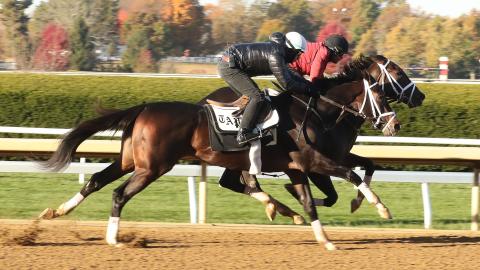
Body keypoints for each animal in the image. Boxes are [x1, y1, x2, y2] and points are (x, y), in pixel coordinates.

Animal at [37, 70, 398, 251]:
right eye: (382, 95)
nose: (394, 125)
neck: (312, 111)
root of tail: (143, 108)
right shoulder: (312, 161)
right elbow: (352, 175)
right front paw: (381, 208)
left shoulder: (297, 167)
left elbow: (311, 201)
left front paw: (325, 240)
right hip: (153, 167)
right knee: (118, 193)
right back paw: (113, 238)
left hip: (132, 162)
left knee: (97, 180)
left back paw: (56, 212)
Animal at [201, 55, 426, 224]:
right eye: (399, 73)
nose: (421, 96)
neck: (323, 112)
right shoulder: (315, 164)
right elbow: (337, 191)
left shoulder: (338, 156)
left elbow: (367, 165)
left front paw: (357, 201)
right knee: (246, 183)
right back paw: (282, 209)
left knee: (232, 183)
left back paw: (285, 211)